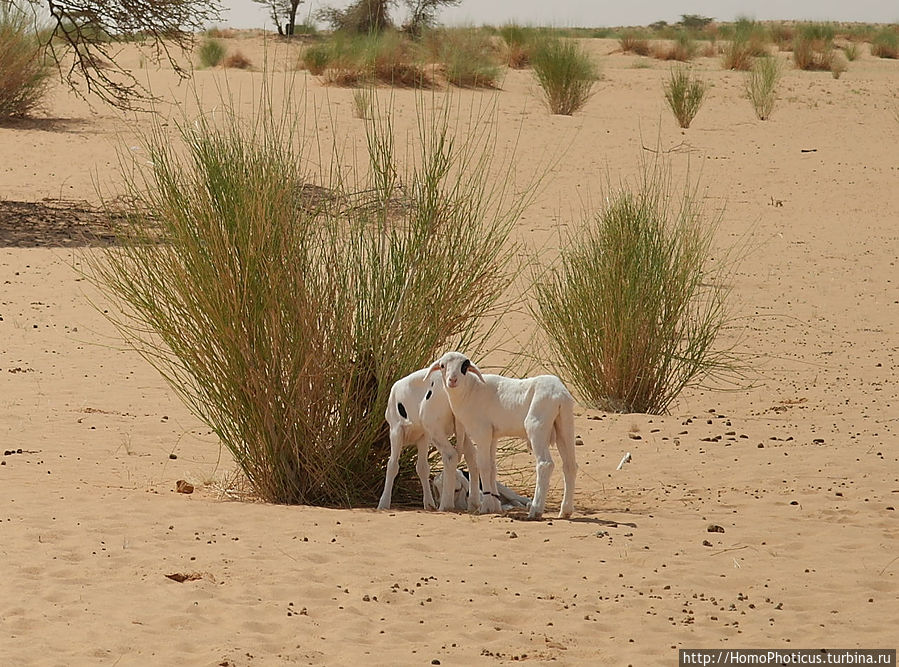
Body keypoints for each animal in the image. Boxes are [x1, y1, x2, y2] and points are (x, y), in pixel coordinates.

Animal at [376, 368, 482, 516]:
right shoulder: (424, 436)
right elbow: (422, 468)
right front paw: (429, 504)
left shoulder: (396, 430)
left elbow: (392, 465)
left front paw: (384, 503)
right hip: (460, 429)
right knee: (471, 455)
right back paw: (474, 503)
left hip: (435, 429)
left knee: (450, 455)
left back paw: (446, 504)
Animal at [428, 352, 580, 520]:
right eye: (442, 366)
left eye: (464, 366)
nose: (452, 380)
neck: (470, 390)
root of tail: (559, 394)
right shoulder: (493, 436)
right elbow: (492, 467)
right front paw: (494, 506)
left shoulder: (482, 433)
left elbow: (483, 466)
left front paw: (486, 507)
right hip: (565, 425)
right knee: (570, 465)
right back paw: (565, 511)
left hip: (537, 427)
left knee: (545, 464)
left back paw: (536, 510)